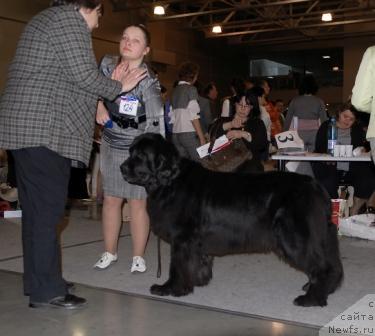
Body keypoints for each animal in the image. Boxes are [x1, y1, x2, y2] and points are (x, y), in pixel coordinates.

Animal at [122, 133, 346, 306]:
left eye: (140, 155)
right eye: (130, 152)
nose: (122, 168)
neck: (170, 180)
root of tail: (316, 188)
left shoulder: (182, 238)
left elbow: (177, 265)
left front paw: (170, 288)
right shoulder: (195, 241)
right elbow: (199, 260)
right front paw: (199, 281)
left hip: (296, 237)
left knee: (323, 266)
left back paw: (311, 298)